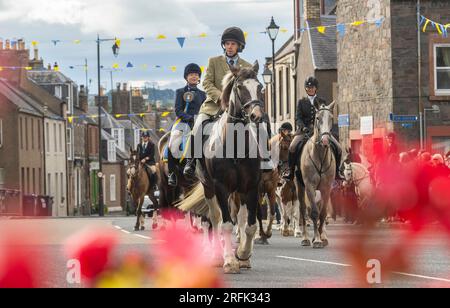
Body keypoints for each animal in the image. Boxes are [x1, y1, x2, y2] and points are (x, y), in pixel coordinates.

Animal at [298, 102, 336, 249]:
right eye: (318, 118)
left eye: (331, 118)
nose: (325, 140)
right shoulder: (309, 185)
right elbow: (314, 212)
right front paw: (317, 240)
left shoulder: (326, 187)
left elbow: (323, 213)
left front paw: (321, 237)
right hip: (300, 187)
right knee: (303, 210)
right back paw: (305, 238)